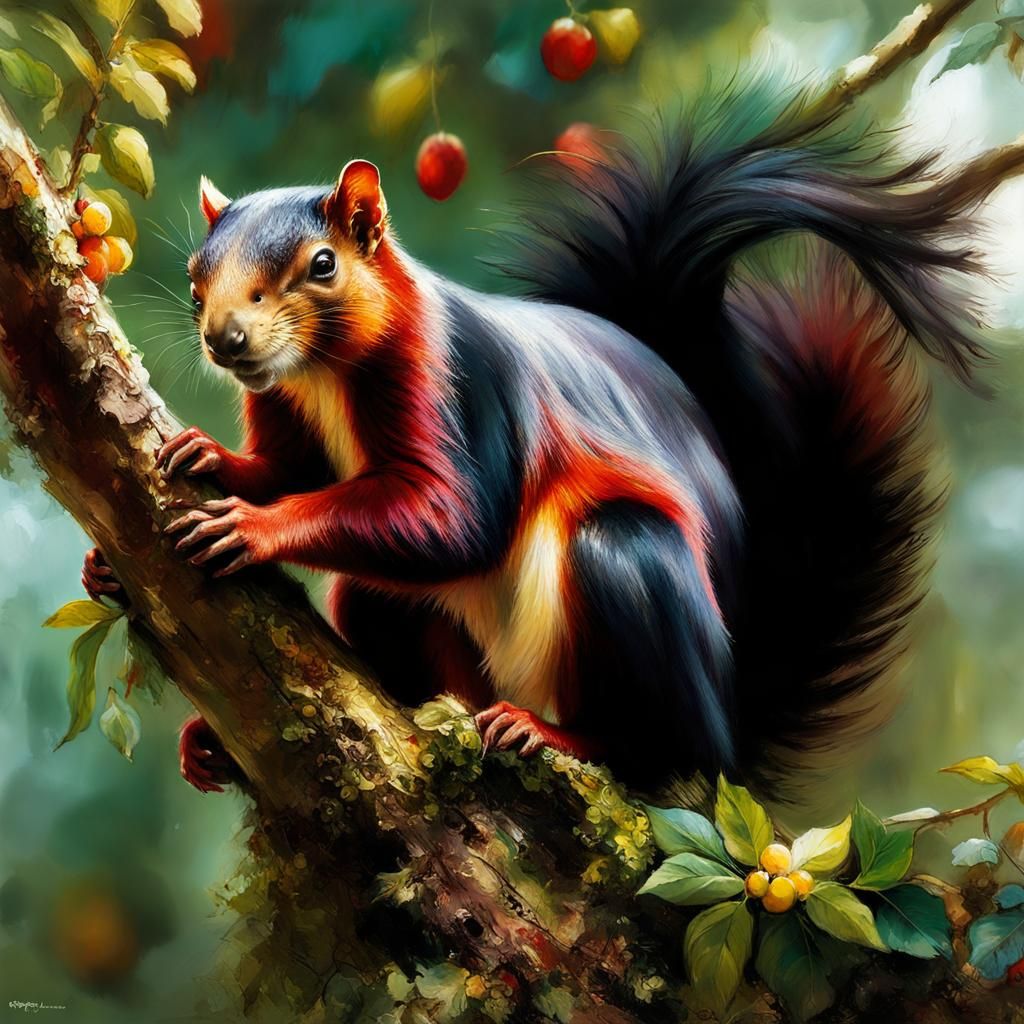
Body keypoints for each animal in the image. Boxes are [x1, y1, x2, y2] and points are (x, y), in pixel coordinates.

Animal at [83, 81, 986, 796]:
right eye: (197, 276)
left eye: (323, 264)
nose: (224, 339)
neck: (323, 375)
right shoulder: (289, 416)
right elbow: (286, 467)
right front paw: (205, 465)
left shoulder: (466, 389)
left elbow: (458, 521)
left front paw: (254, 527)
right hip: (415, 624)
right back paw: (238, 741)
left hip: (630, 573)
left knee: (666, 753)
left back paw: (555, 735)